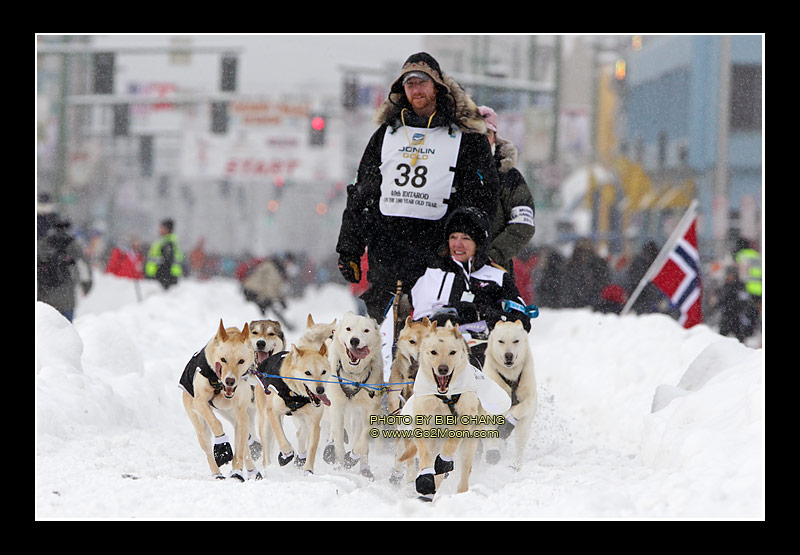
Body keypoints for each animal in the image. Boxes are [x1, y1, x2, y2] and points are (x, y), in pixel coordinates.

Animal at [178, 322, 260, 482]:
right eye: (223, 359)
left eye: (241, 361)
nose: (230, 380)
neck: (220, 384)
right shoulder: (199, 403)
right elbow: (216, 423)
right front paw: (222, 447)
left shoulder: (241, 412)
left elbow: (240, 449)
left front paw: (237, 472)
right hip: (199, 424)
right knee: (207, 447)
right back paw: (217, 473)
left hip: (236, 418)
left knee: (244, 445)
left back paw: (252, 470)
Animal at [326, 312, 386, 478]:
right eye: (348, 329)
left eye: (366, 330)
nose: (354, 340)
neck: (354, 376)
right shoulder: (337, 408)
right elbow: (339, 441)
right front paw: (340, 465)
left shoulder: (370, 409)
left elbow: (362, 442)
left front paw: (353, 457)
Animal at [482, 322, 536, 470]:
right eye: (501, 341)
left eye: (515, 340)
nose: (508, 355)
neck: (510, 377)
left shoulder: (529, 398)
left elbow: (521, 407)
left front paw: (508, 423)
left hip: (524, 428)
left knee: (519, 445)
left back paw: (516, 465)